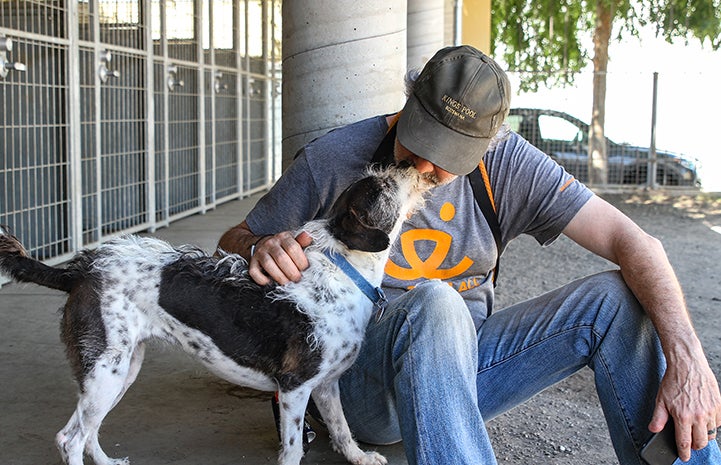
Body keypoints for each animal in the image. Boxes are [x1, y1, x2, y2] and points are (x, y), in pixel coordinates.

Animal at [0, 165, 428, 464]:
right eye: (382, 187)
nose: (409, 164)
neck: (345, 269)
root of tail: (80, 270)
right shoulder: (294, 387)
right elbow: (293, 448)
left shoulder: (325, 386)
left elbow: (341, 428)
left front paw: (359, 457)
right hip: (106, 371)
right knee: (70, 438)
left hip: (121, 369)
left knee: (89, 431)